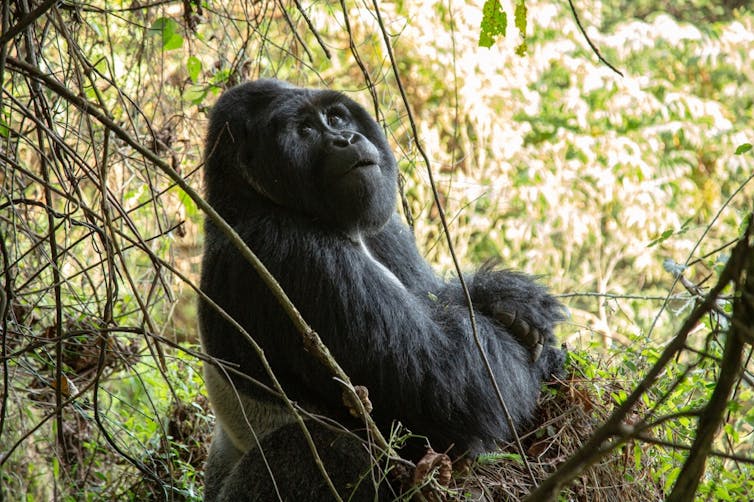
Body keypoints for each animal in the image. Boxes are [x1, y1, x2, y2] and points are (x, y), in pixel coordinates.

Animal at [200, 80, 564, 500]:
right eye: (304, 131)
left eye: (336, 117)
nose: (345, 138)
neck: (247, 199)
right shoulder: (293, 253)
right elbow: (462, 384)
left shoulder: (384, 227)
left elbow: (437, 300)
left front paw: (508, 300)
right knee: (316, 448)